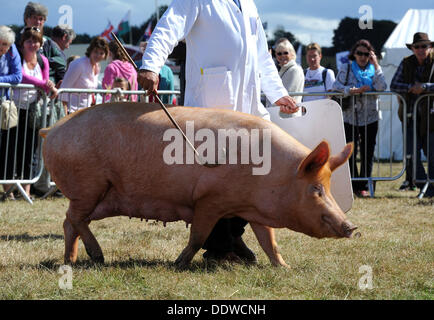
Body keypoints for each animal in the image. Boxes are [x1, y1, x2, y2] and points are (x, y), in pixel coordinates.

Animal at [40, 102, 358, 268]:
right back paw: (98, 257)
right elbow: (198, 236)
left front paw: (284, 267)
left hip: (102, 197)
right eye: (316, 189)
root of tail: (51, 128)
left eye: (329, 188)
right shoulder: (209, 199)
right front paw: (179, 264)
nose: (352, 226)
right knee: (74, 218)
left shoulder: (253, 209)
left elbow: (270, 241)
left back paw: (71, 261)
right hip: (87, 186)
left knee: (69, 222)